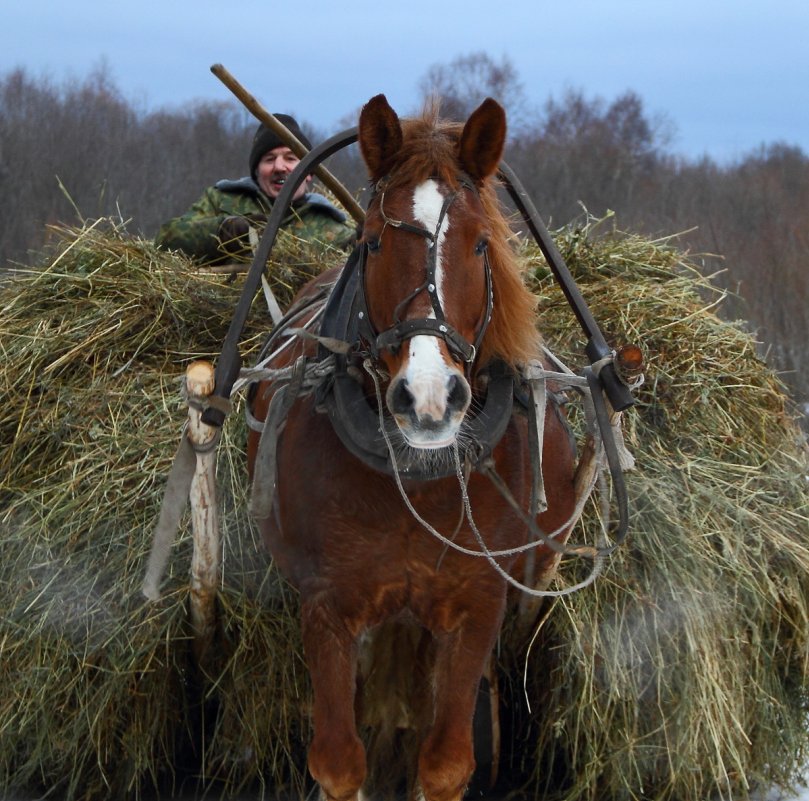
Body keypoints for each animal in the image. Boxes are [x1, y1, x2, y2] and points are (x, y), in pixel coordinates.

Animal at [243, 95, 576, 800]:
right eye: (371, 241)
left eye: (480, 243)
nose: (428, 398)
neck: (417, 479)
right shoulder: (329, 606)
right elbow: (341, 762)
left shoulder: (476, 605)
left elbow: (444, 762)